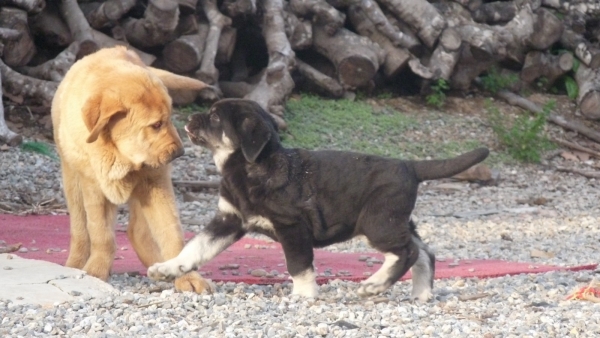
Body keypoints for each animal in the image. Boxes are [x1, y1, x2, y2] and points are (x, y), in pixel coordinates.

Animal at [51, 46, 213, 294]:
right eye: (156, 125)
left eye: (169, 119)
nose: (180, 153)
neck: (121, 156)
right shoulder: (94, 187)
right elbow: (101, 233)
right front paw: (96, 271)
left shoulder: (156, 183)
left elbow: (172, 232)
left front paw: (185, 276)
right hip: (72, 180)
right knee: (80, 230)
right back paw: (75, 264)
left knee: (137, 230)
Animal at [148, 98, 490, 302]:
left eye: (215, 117)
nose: (189, 117)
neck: (249, 167)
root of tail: (410, 166)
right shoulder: (228, 220)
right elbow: (195, 248)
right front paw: (168, 268)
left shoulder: (291, 226)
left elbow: (299, 264)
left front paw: (303, 295)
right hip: (395, 221)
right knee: (424, 252)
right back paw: (421, 293)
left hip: (377, 222)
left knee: (407, 252)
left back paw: (374, 285)